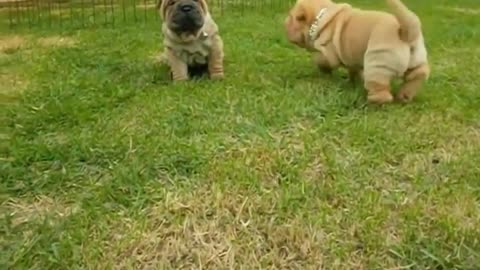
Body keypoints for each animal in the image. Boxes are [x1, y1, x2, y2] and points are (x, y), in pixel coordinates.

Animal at [284, 0, 432, 103]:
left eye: (292, 18)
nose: (284, 23)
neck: (321, 17)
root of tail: (406, 32)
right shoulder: (352, 58)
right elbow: (354, 70)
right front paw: (353, 82)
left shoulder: (327, 52)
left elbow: (320, 59)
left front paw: (325, 72)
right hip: (416, 58)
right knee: (418, 73)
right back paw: (405, 96)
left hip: (378, 62)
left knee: (381, 90)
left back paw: (371, 101)